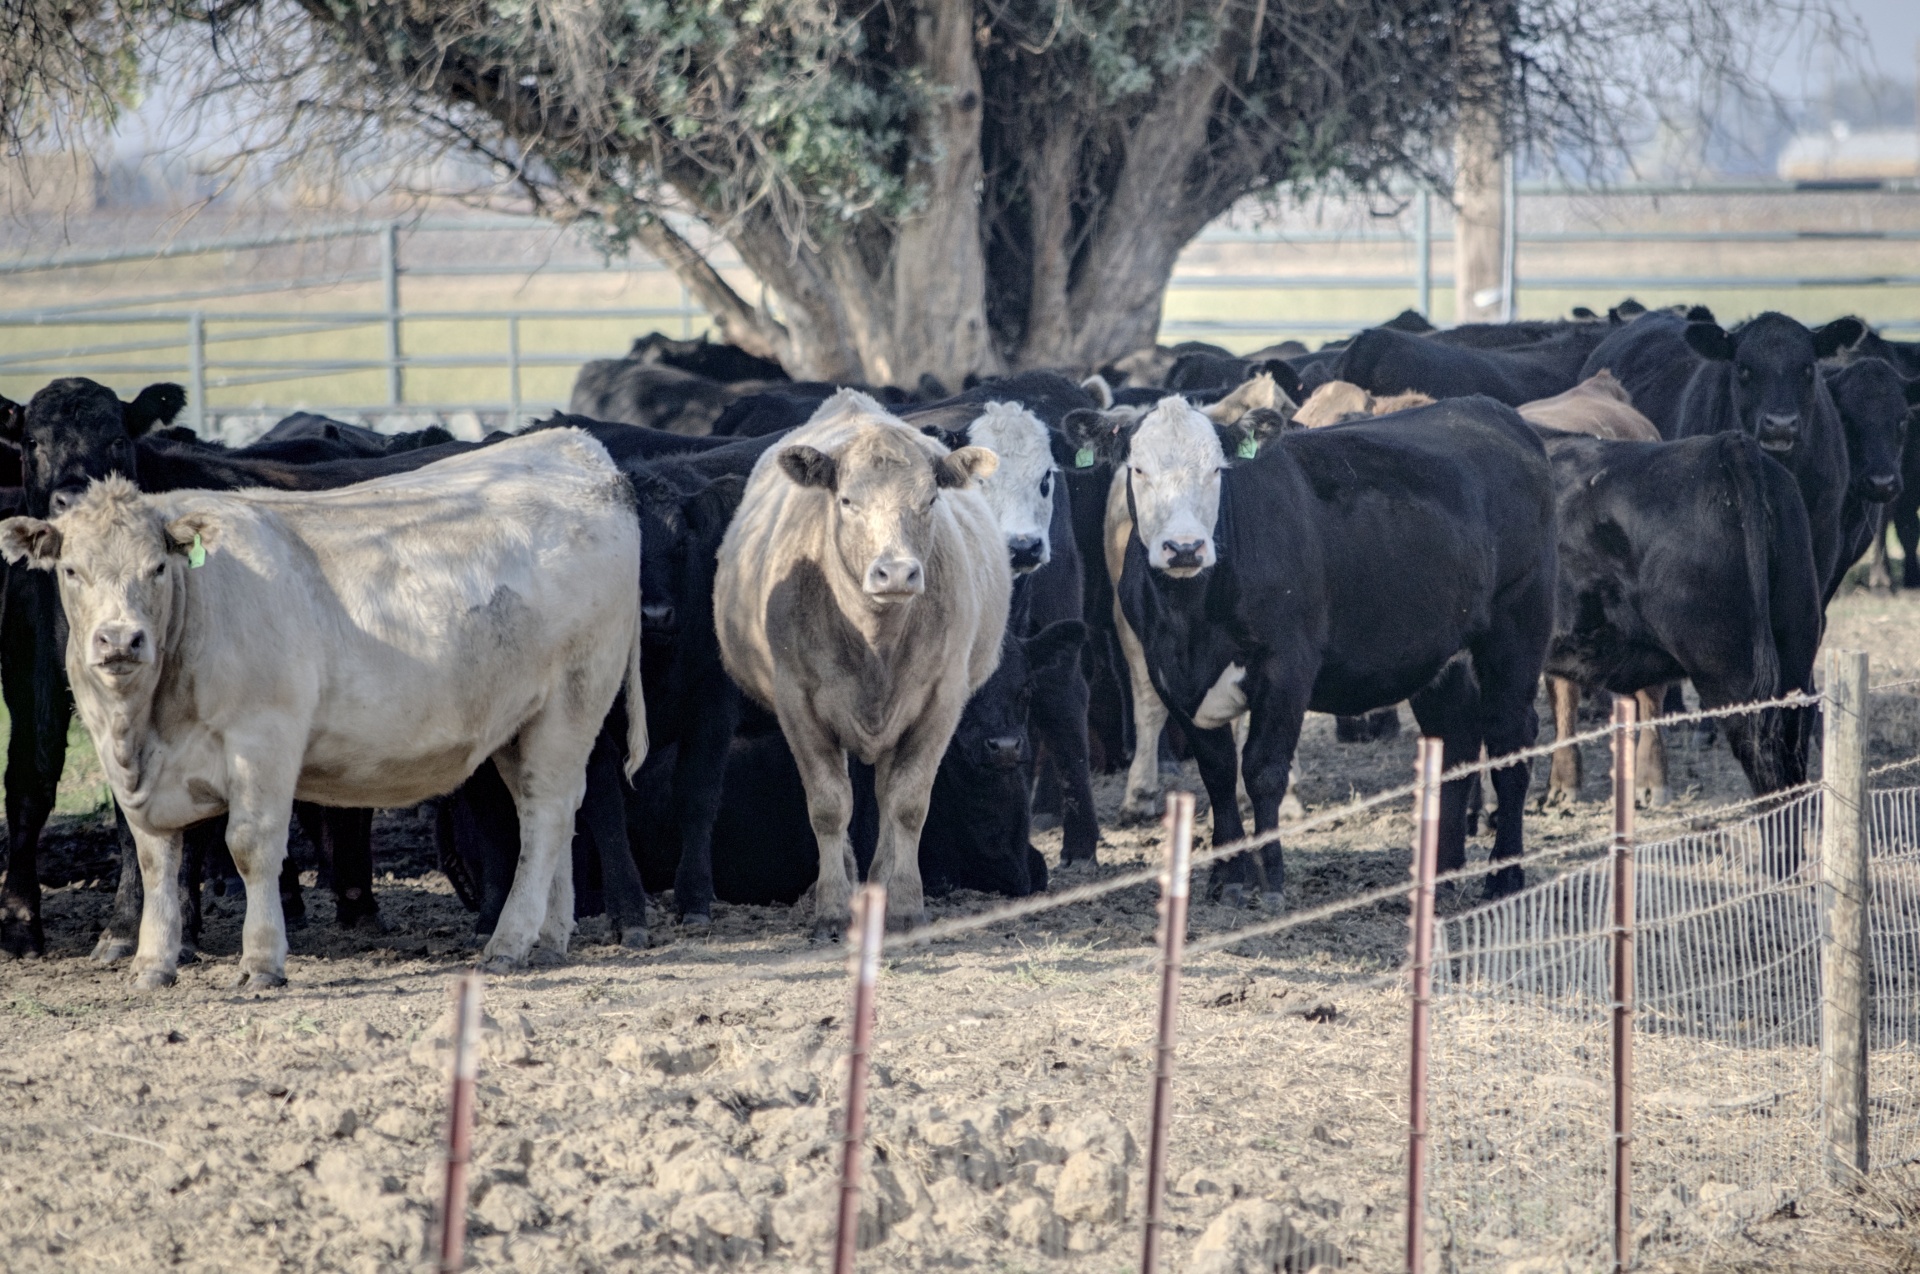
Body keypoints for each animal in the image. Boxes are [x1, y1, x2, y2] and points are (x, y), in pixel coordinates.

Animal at [0, 433, 645, 990]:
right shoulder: (130, 769)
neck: (147, 722)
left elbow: (251, 845)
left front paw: (262, 962)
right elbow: (156, 858)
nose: (119, 640)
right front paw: (152, 965)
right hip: (520, 724)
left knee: (546, 814)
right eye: (71, 570)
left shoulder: (264, 738)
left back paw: (509, 944)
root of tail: (578, 448)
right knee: (553, 809)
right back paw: (550, 939)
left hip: (572, 700)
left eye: (157, 568)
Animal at [1082, 393, 1559, 901]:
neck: (1190, 620)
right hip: (1440, 652)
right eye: (1138, 469)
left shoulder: (1287, 666)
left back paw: (1504, 876)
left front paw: (1270, 877)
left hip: (1518, 628)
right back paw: (1439, 873)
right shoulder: (1169, 674)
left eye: (1216, 470)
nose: (1185, 548)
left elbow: (1263, 769)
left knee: (1510, 740)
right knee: (1456, 740)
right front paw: (1227, 877)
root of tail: (1493, 411)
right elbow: (1217, 772)